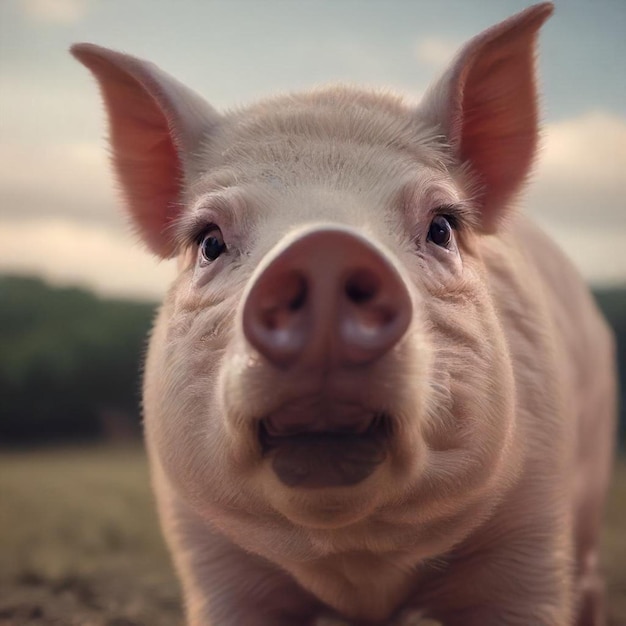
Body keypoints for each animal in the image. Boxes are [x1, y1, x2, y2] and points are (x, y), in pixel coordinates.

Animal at [69, 2, 616, 620]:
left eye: (442, 227)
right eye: (209, 241)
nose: (324, 248)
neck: (357, 566)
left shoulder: (532, 533)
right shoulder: (209, 558)